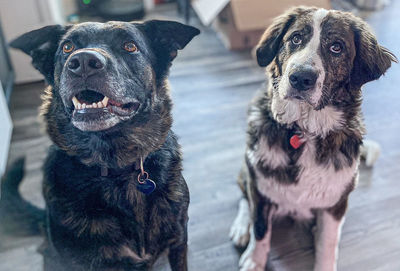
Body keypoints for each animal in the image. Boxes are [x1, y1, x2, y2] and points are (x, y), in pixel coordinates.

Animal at [230, 6, 396, 271]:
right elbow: (260, 228)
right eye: (296, 38)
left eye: (336, 47)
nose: (300, 78)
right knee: (245, 196)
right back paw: (241, 227)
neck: (304, 131)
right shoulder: (261, 183)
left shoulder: (335, 204)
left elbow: (328, 243)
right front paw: (254, 260)